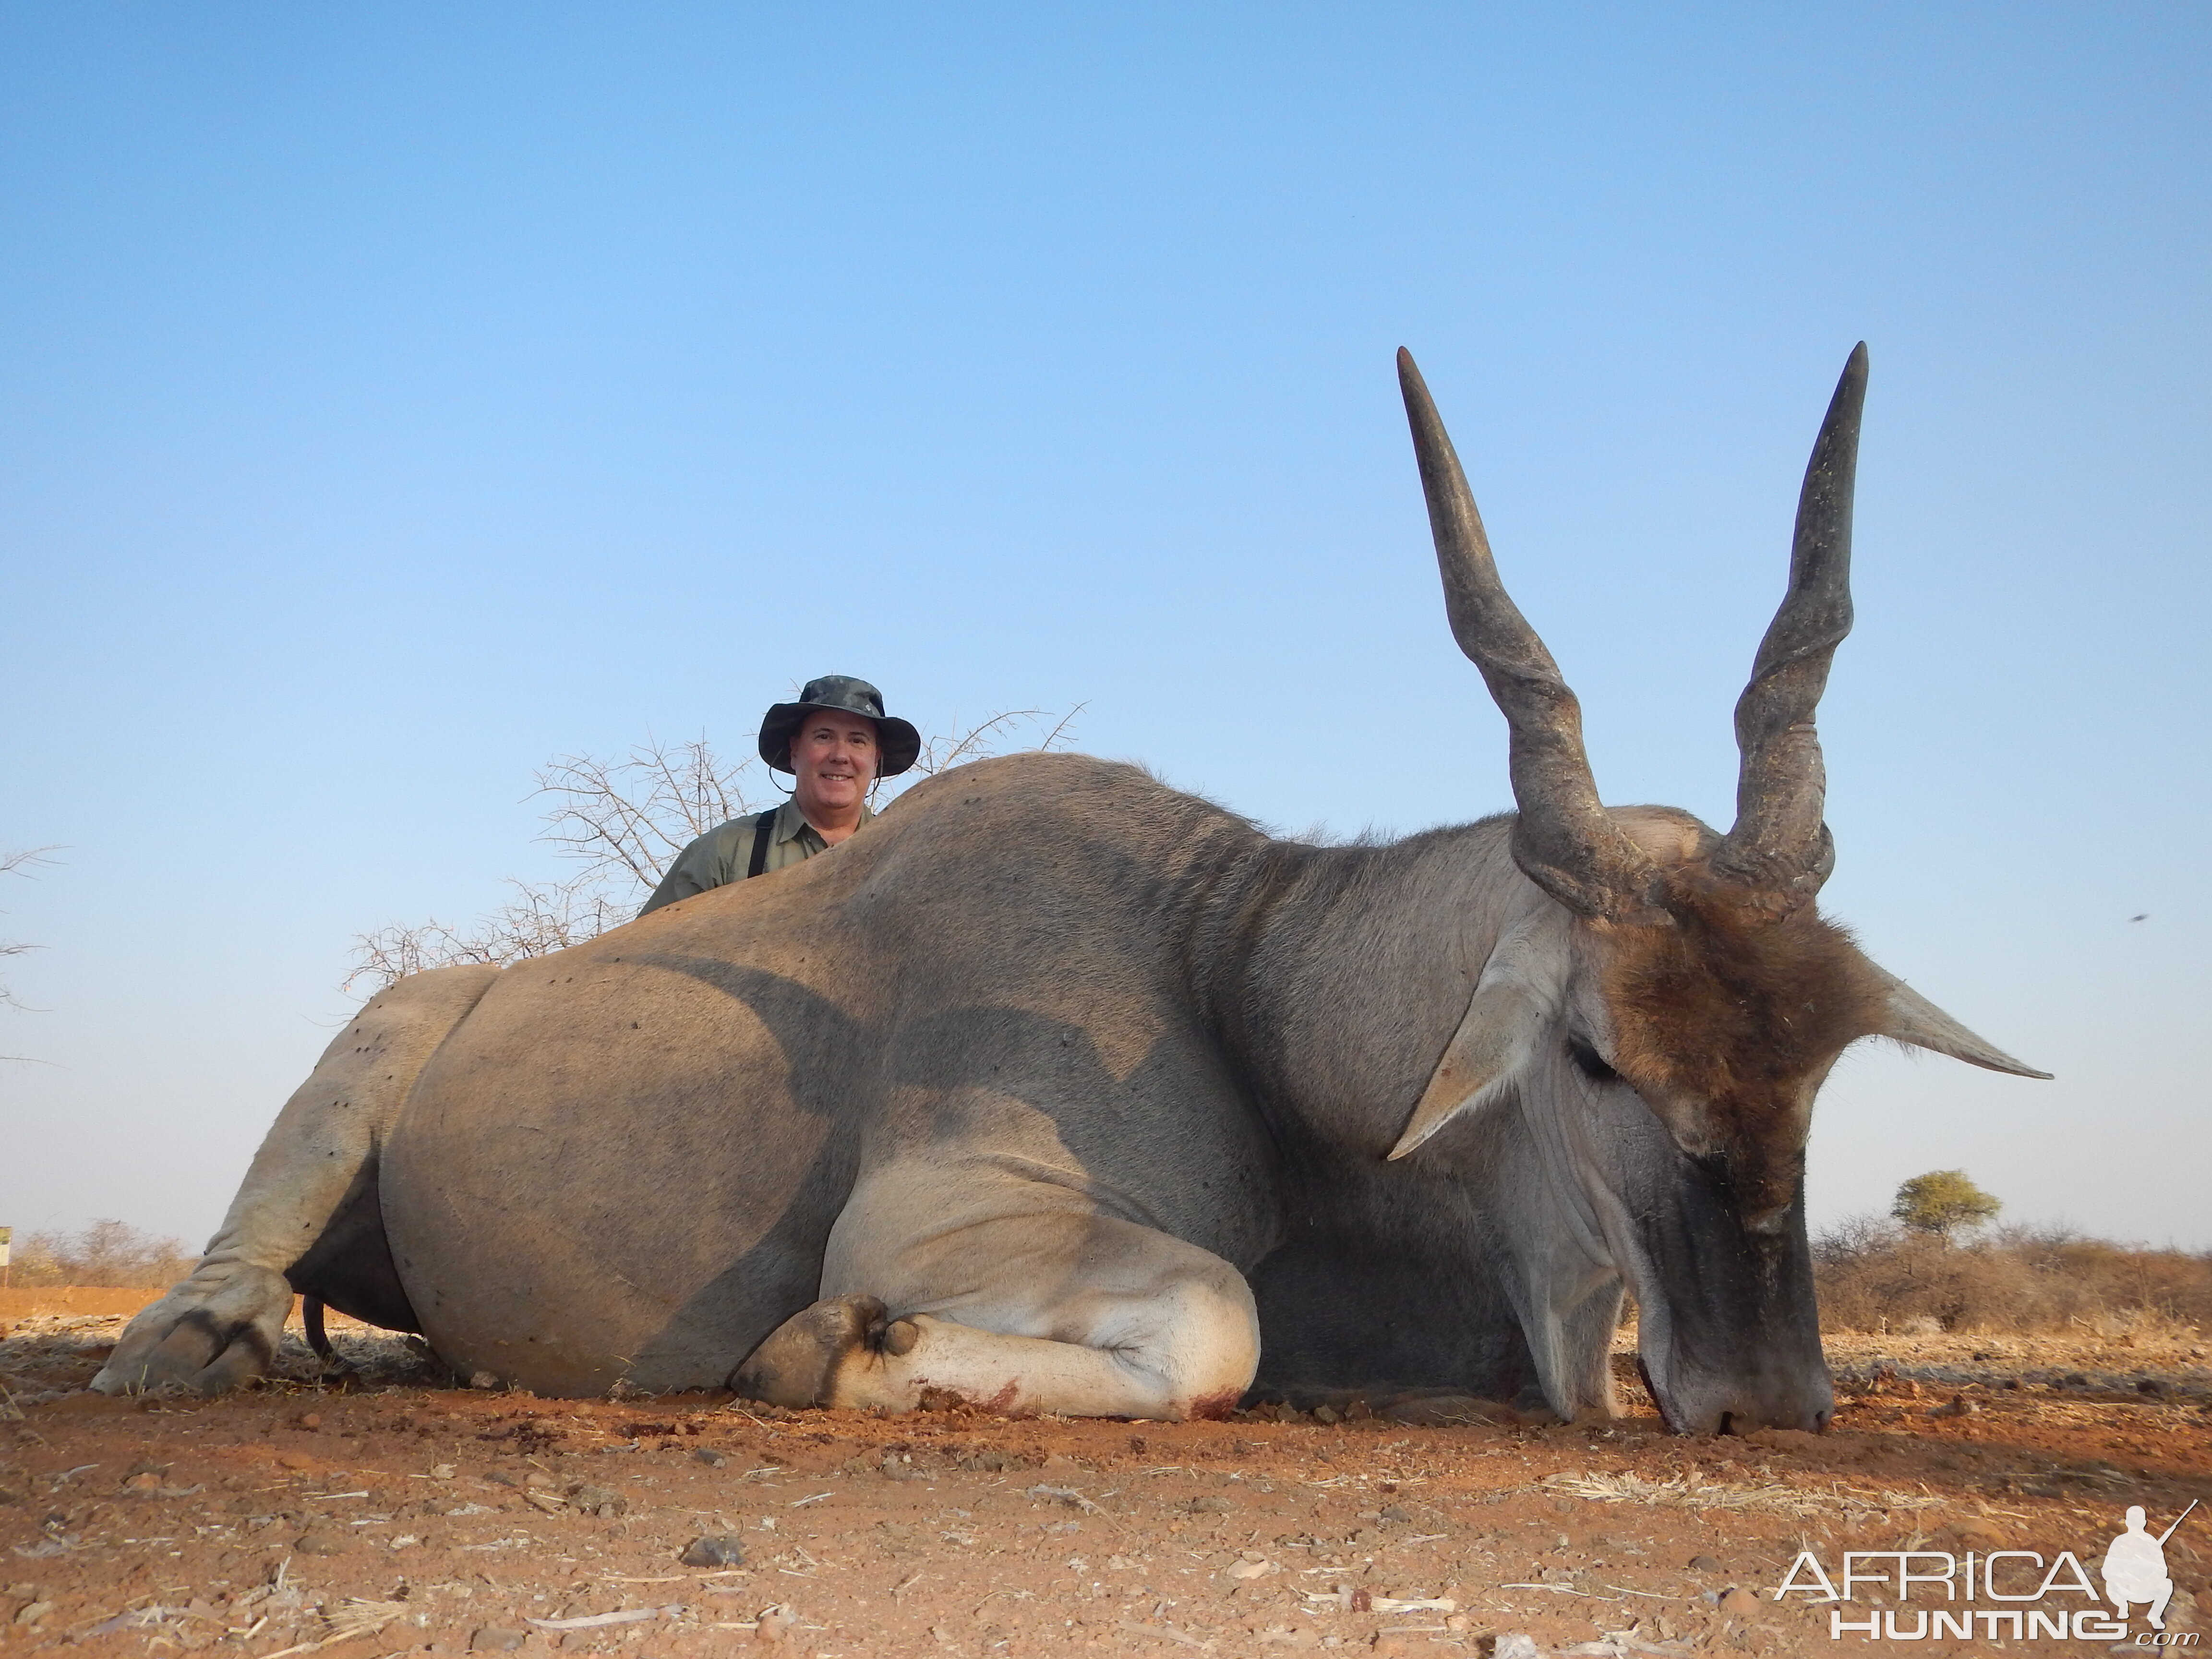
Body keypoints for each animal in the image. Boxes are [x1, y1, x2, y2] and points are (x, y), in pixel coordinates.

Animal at [95, 347, 2044, 1433]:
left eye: (1814, 1071)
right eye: (1593, 1061)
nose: (1765, 1402)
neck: (1225, 964)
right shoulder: (937, 1213)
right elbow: (1206, 1323)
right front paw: (831, 1351)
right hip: (374, 1047)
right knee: (233, 1263)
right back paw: (193, 1349)